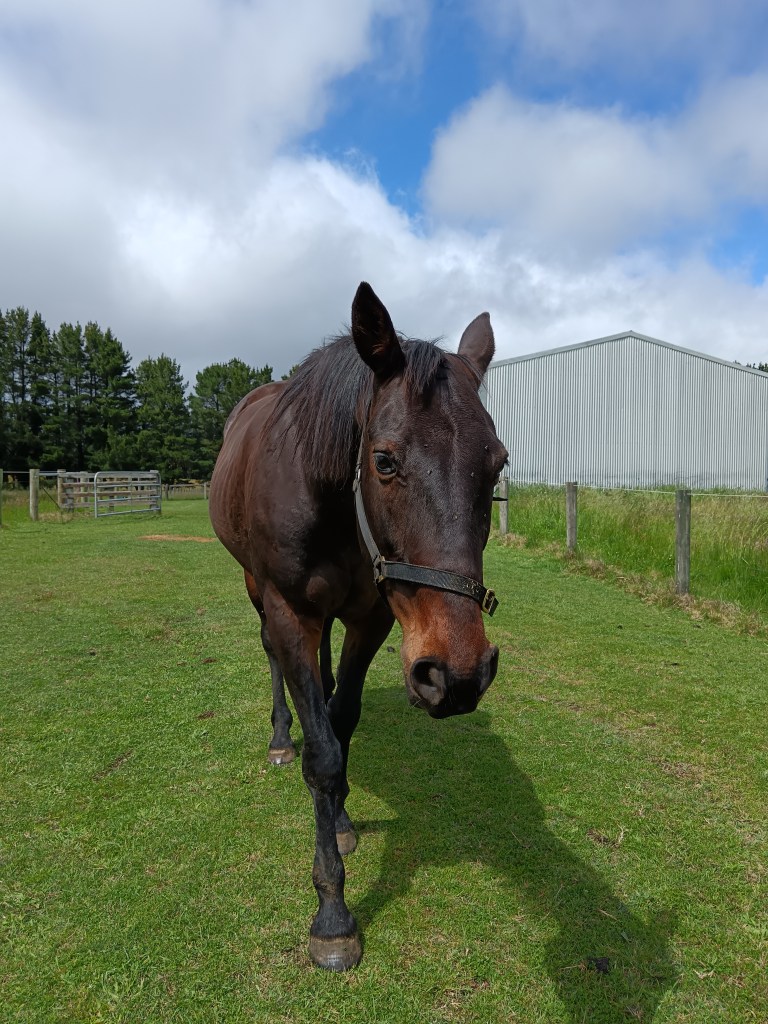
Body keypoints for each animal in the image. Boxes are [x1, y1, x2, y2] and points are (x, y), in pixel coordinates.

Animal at [209, 282, 508, 971]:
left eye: (498, 466)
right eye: (385, 460)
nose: (458, 674)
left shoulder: (372, 618)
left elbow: (340, 725)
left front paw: (341, 823)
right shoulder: (291, 612)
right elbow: (321, 754)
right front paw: (332, 914)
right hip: (256, 590)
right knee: (274, 661)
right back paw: (280, 737)